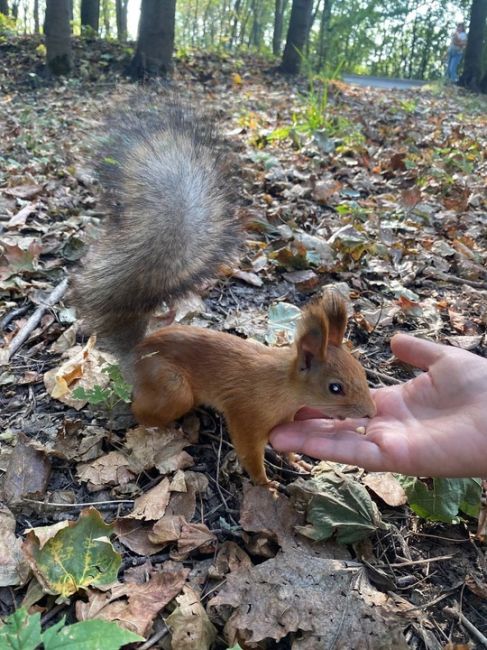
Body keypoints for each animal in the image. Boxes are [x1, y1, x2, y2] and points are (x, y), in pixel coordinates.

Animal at [73, 102, 378, 486]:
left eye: (361, 372)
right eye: (335, 388)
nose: (371, 413)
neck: (284, 386)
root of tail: (137, 353)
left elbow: (286, 445)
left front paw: (298, 462)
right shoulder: (248, 414)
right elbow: (250, 453)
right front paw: (267, 486)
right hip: (171, 386)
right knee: (141, 411)